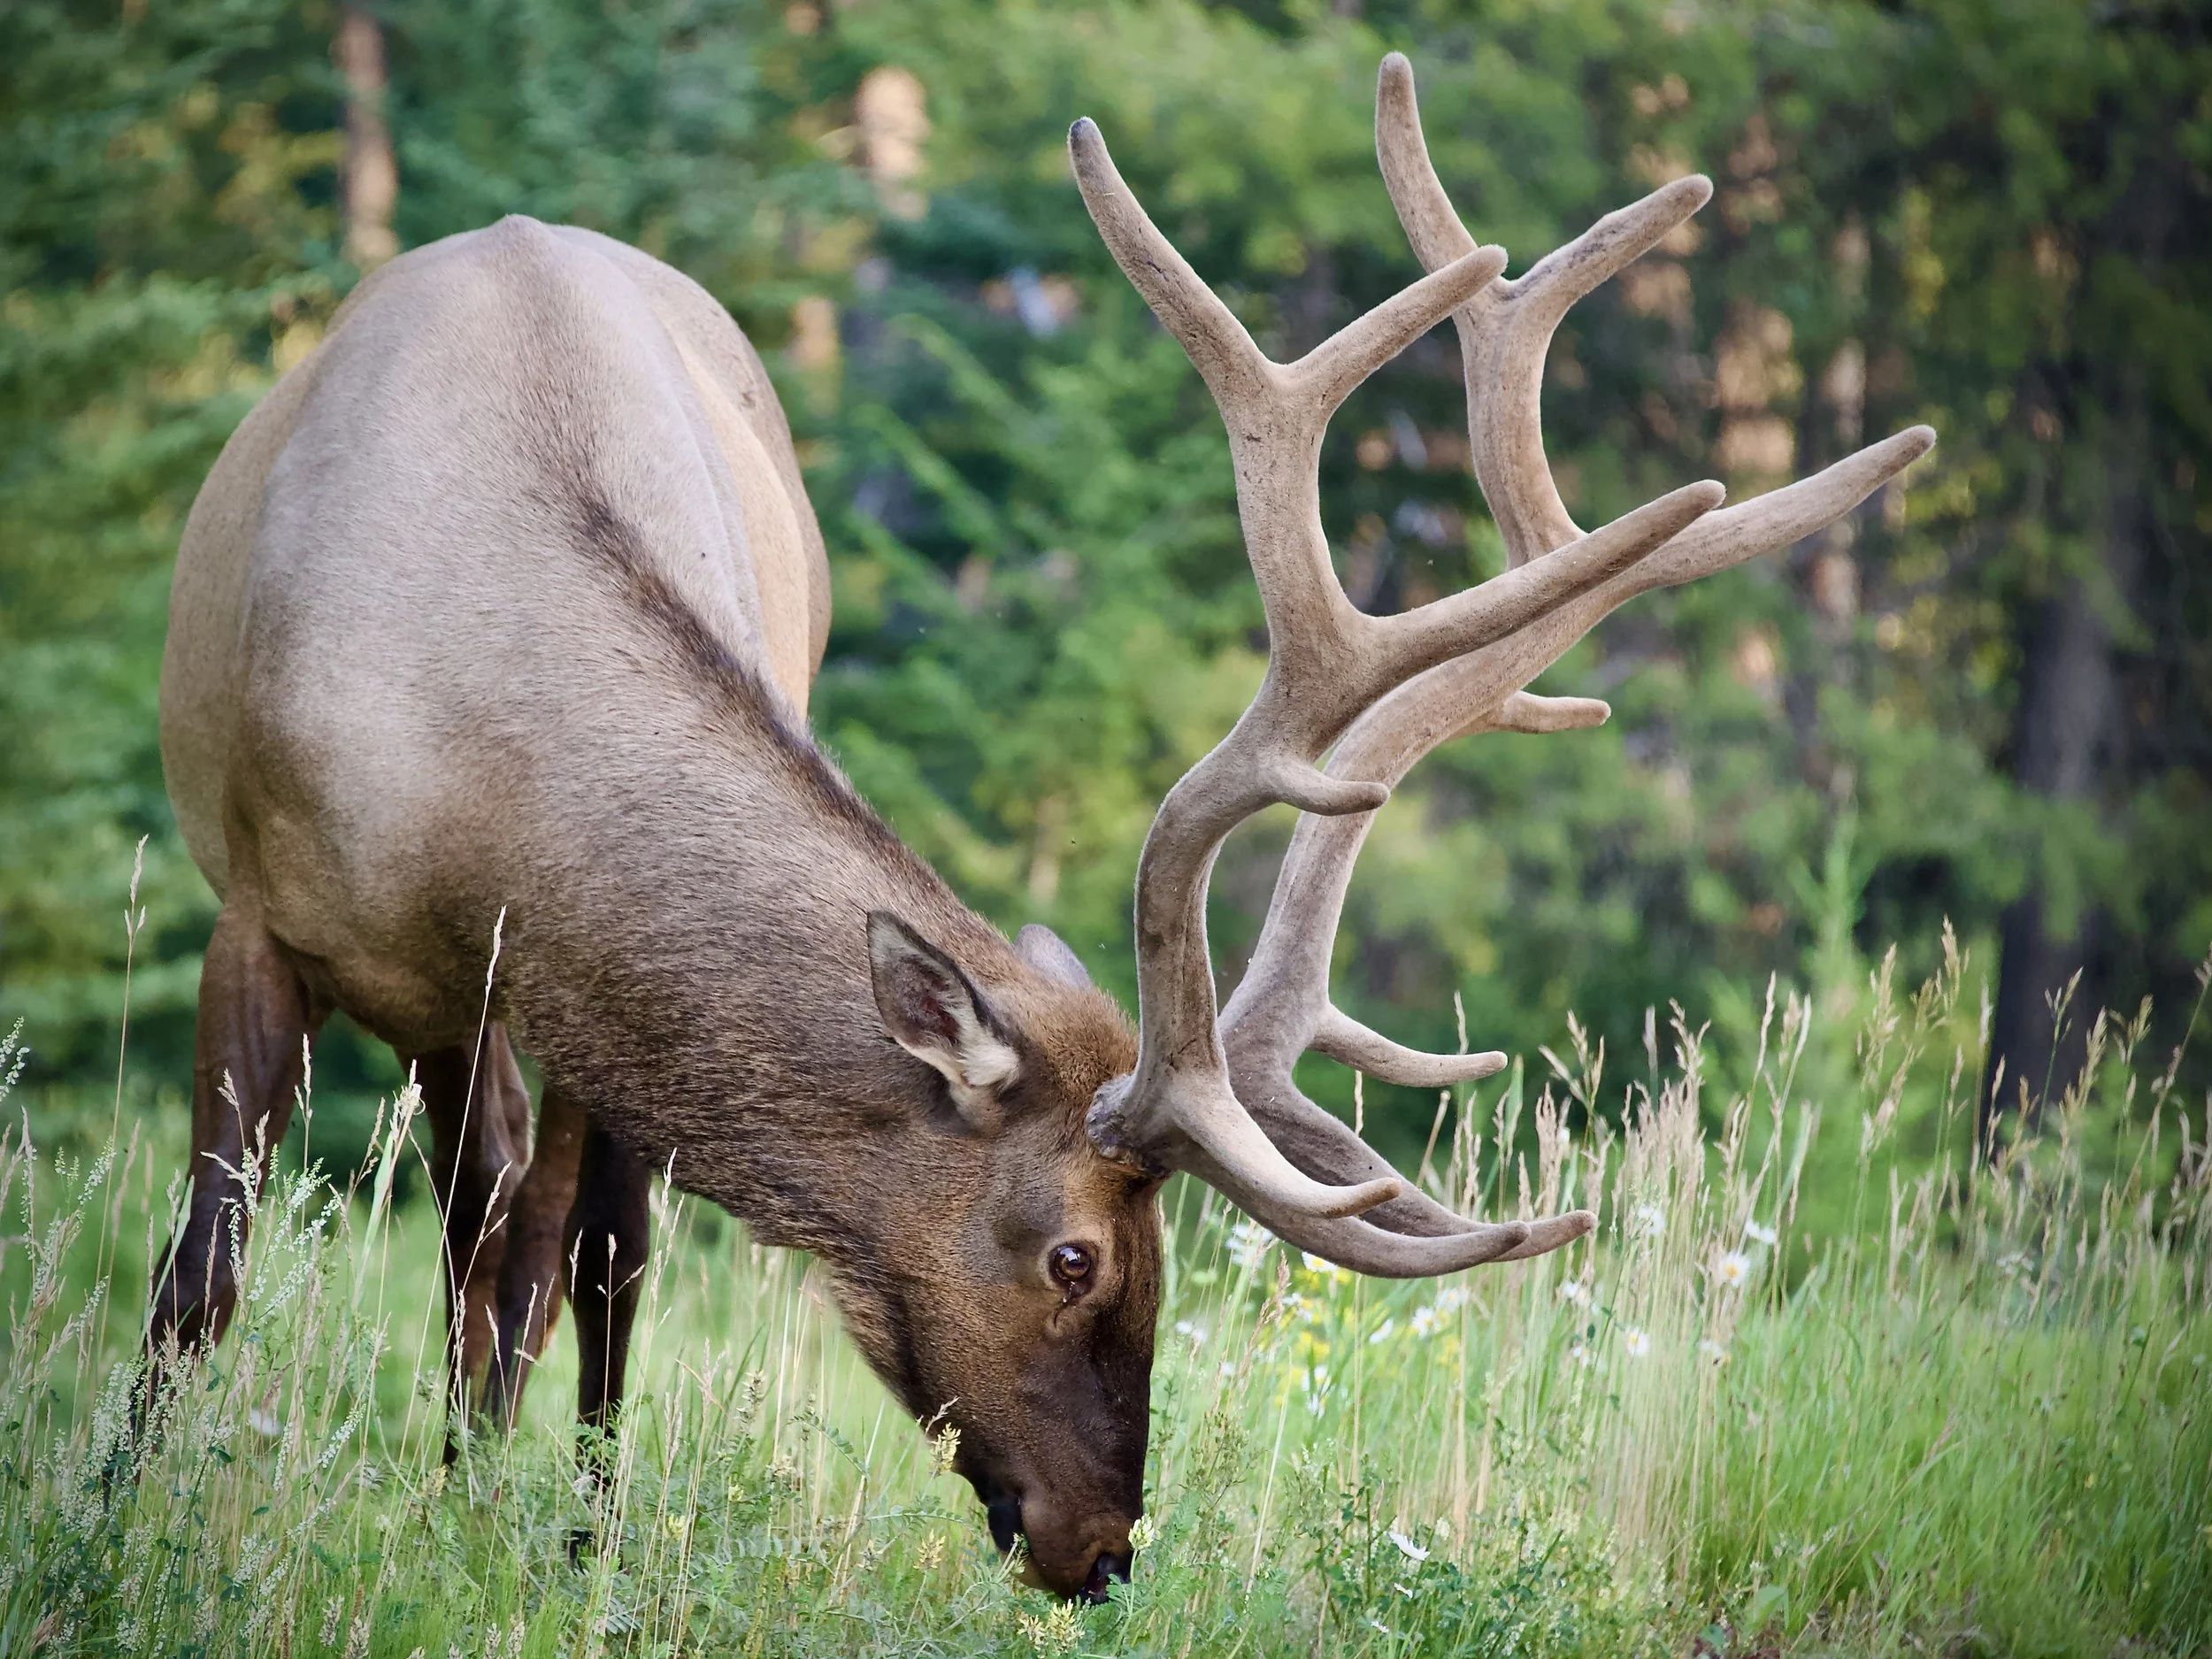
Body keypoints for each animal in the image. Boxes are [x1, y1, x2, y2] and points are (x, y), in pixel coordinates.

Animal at [146, 52, 1932, 1603]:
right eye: (1076, 1257)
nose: (1107, 1547)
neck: (459, 776)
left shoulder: (575, 991)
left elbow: (554, 1272)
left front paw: (517, 1540)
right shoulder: (251, 906)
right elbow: (203, 1271)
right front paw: (135, 1506)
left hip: (516, 1027)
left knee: (554, 1248)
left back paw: (531, 1506)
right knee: (481, 1220)